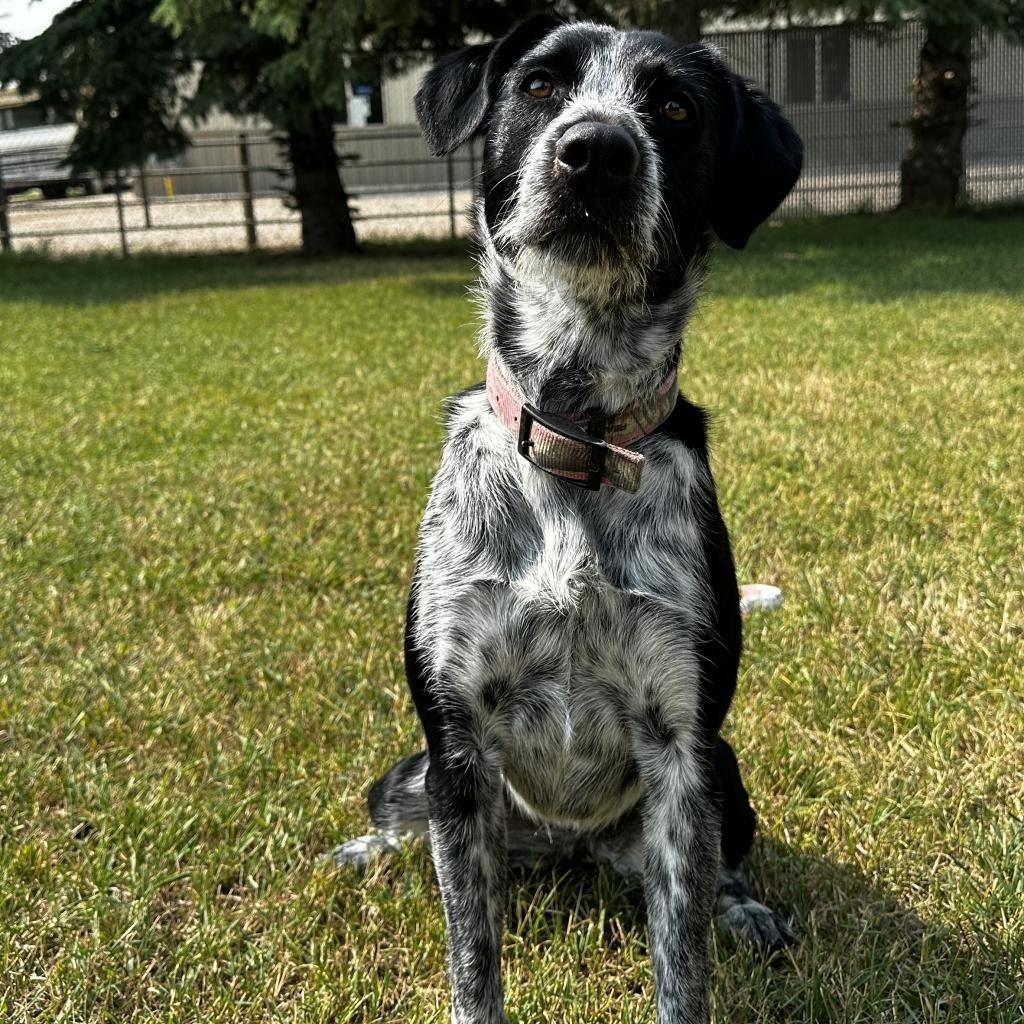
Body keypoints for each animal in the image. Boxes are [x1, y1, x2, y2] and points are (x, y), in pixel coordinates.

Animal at [331, 18, 802, 1024]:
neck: (577, 436)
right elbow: (473, 958)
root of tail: (569, 847)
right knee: (402, 828)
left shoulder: (681, 749)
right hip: (413, 771)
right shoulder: (458, 745)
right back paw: (363, 855)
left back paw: (748, 909)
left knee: (723, 865)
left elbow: (683, 960)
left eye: (675, 108)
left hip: (726, 770)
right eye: (541, 85)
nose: (597, 152)